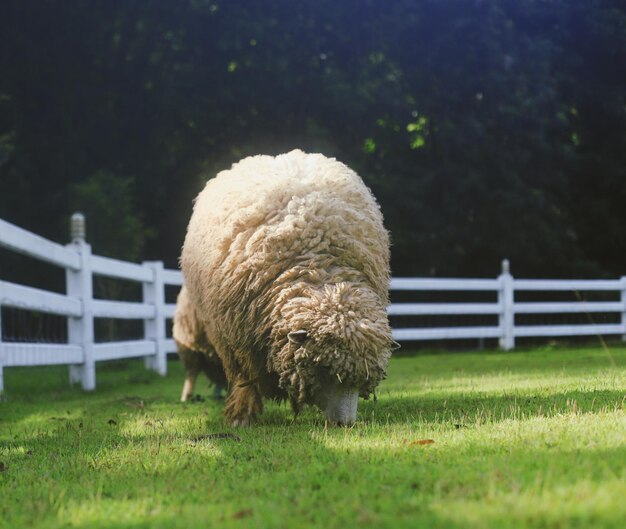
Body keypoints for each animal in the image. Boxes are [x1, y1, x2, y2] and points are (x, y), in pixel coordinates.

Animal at [178, 148, 392, 424]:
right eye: (324, 368)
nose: (344, 424)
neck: (320, 270)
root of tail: (278, 156)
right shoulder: (237, 338)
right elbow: (244, 376)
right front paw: (242, 415)